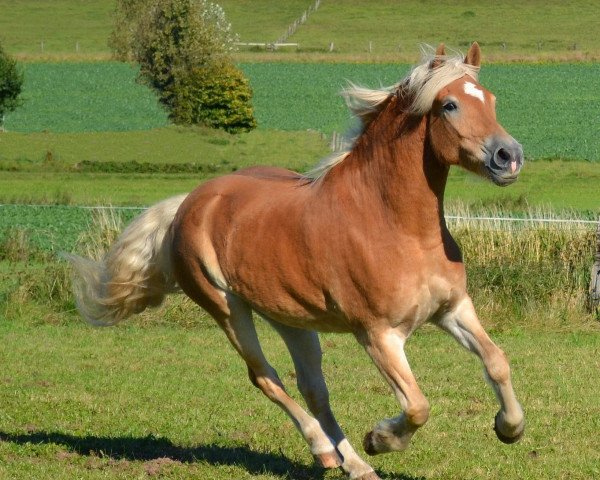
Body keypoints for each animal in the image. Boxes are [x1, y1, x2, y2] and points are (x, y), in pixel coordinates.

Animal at [67, 43, 524, 478]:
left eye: (492, 99)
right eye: (449, 105)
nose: (509, 156)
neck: (397, 227)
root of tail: (189, 204)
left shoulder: (453, 309)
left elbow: (498, 362)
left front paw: (508, 428)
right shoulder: (378, 335)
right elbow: (416, 405)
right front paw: (379, 438)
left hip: (290, 317)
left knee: (313, 389)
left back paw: (353, 465)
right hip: (227, 309)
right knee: (266, 378)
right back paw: (327, 450)